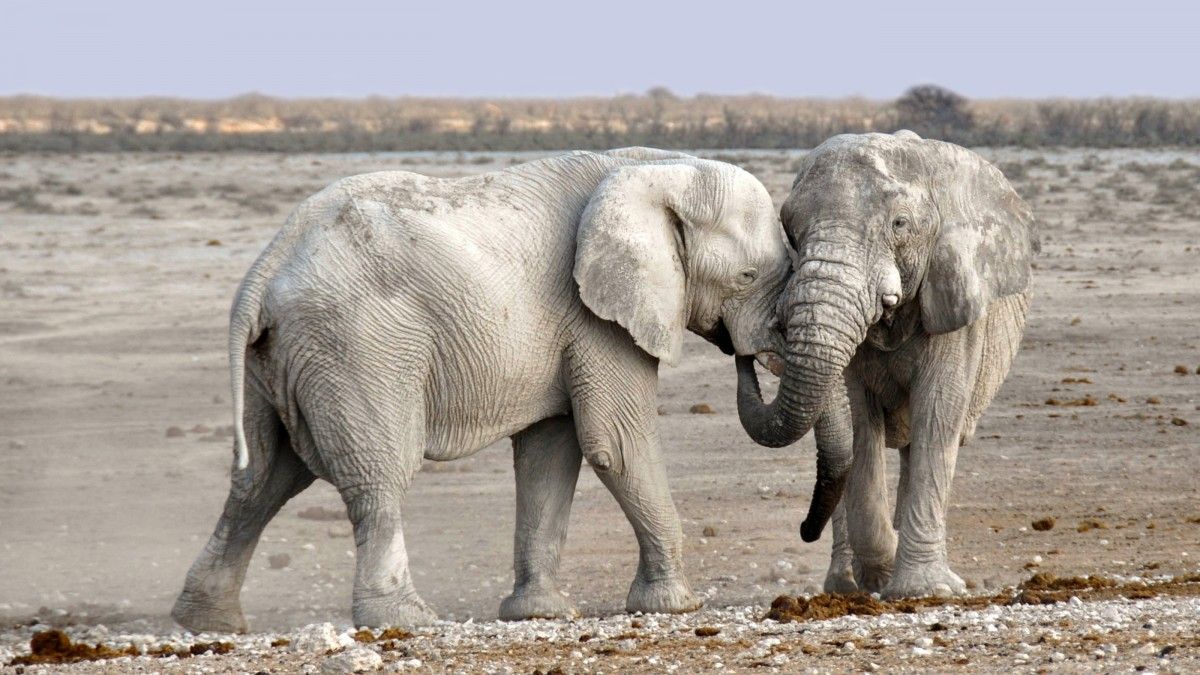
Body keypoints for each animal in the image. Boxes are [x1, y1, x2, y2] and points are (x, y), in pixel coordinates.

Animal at [169, 147, 792, 629]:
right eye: (746, 277)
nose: (746, 355)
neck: (659, 168)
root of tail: (266, 267)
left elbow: (550, 454)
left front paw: (539, 614)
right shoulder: (597, 316)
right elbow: (616, 444)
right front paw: (675, 605)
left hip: (280, 358)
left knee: (263, 478)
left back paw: (207, 622)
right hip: (357, 346)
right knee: (377, 475)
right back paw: (407, 620)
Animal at [734, 130, 1036, 593]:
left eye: (900, 225)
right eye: (790, 229)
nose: (746, 353)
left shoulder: (954, 299)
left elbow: (939, 412)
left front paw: (926, 590)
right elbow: (859, 421)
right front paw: (884, 572)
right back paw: (846, 585)